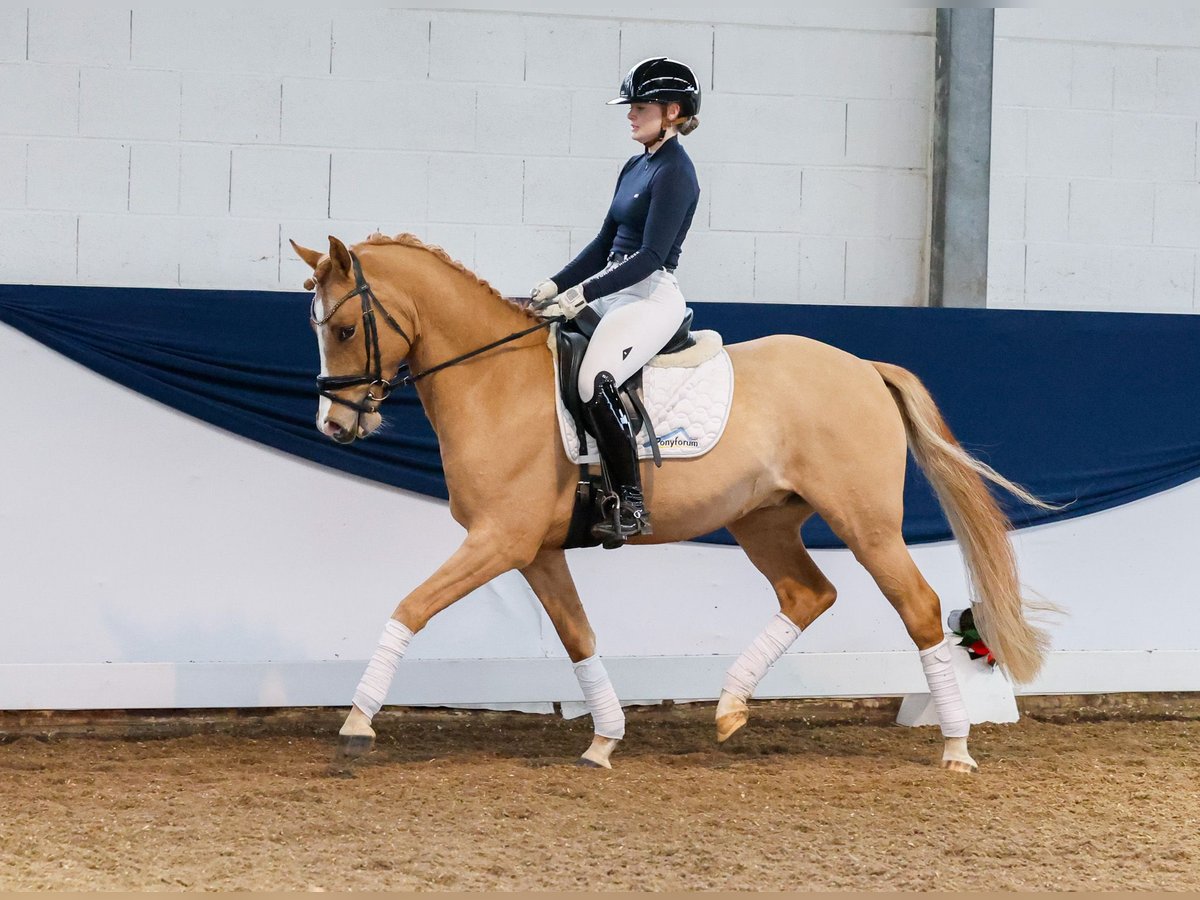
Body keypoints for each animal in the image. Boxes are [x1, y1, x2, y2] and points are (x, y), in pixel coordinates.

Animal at [292, 232, 1051, 777]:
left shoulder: (499, 540)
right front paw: (603, 740)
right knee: (808, 593)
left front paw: (357, 722)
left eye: (345, 330)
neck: (495, 380)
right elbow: (578, 636)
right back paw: (730, 708)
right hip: (762, 520)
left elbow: (410, 607)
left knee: (918, 608)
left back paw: (955, 746)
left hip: (866, 526)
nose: (335, 426)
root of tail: (865, 367)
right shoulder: (533, 550)